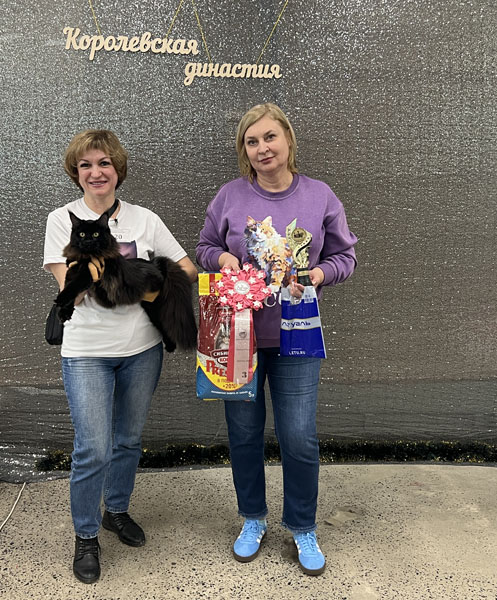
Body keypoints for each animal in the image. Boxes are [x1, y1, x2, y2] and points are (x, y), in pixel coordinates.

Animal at [54, 211, 197, 353]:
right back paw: (170, 346)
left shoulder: (88, 272)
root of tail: (156, 264)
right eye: (82, 234)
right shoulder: (73, 269)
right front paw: (64, 311)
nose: (88, 241)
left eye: (96, 234)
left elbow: (74, 286)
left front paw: (61, 299)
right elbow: (69, 287)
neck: (87, 257)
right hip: (151, 309)